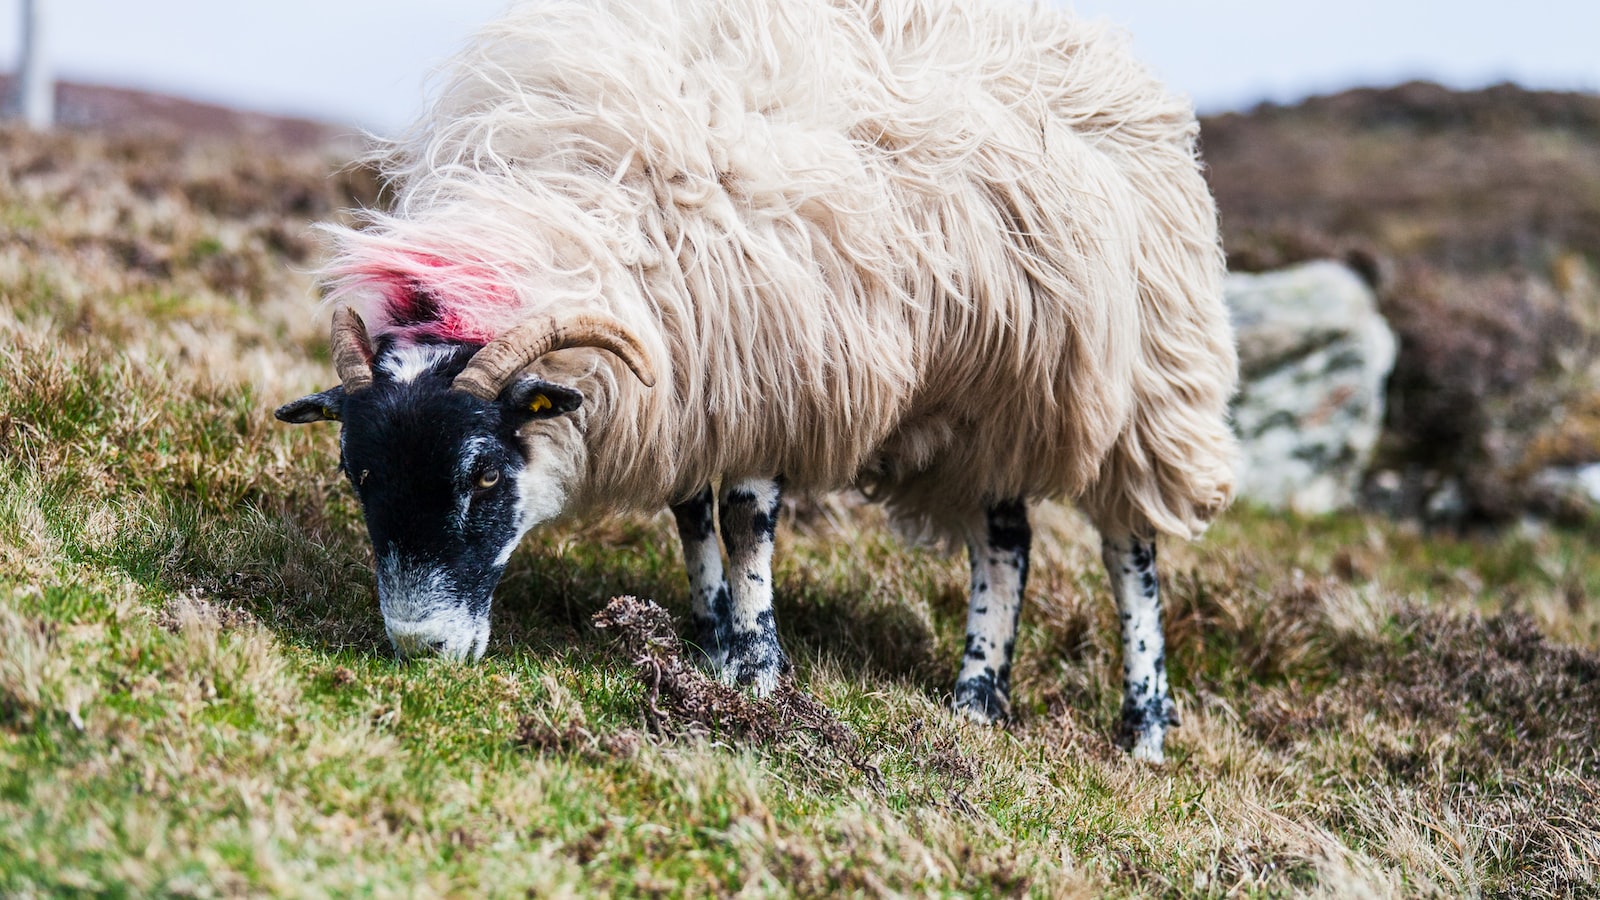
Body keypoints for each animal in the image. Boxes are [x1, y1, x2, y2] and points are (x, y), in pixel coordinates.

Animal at [275, 0, 1235, 759]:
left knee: (1130, 549)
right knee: (1008, 540)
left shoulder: (773, 366)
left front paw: (759, 671)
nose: (420, 649)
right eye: (357, 475)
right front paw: (708, 638)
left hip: (1142, 376)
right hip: (997, 394)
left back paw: (1144, 727)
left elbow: (746, 521)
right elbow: (690, 513)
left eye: (482, 476)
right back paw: (974, 699)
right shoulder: (694, 383)